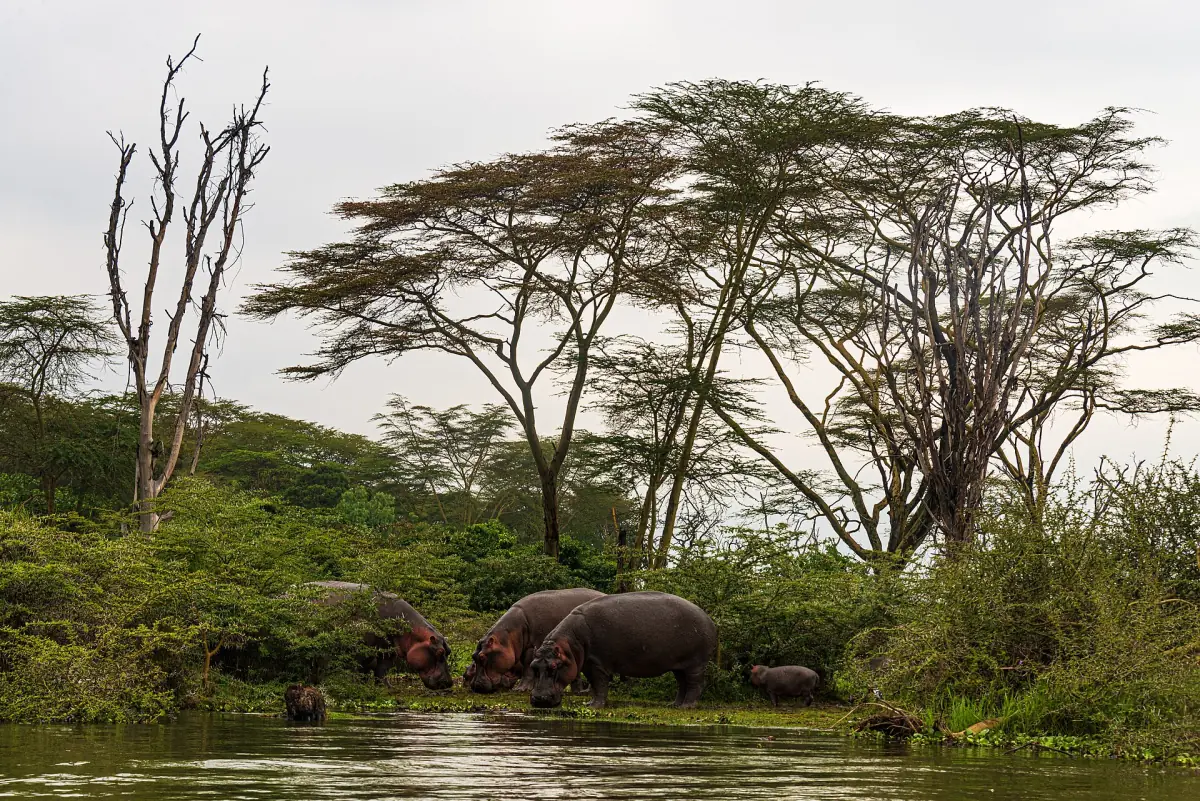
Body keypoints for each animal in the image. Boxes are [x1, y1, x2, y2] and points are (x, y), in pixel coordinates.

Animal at [302, 581, 452, 690]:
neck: (410, 630)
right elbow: (360, 667)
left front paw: (387, 687)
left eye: (448, 651)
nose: (449, 683)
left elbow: (382, 670)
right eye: (440, 652)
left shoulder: (389, 650)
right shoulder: (362, 648)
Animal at [466, 588, 605, 694]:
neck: (508, 636)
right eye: (473, 656)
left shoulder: (533, 646)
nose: (475, 686)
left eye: (482, 656)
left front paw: (520, 689)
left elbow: (528, 666)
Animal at [528, 591, 717, 709]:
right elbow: (595, 685)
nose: (539, 699)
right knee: (682, 683)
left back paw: (687, 706)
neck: (570, 644)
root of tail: (708, 618)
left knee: (695, 684)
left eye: (554, 666)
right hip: (679, 665)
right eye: (533, 666)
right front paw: (589, 704)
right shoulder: (588, 664)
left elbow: (600, 684)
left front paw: (595, 707)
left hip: (695, 664)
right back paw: (675, 705)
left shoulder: (598, 663)